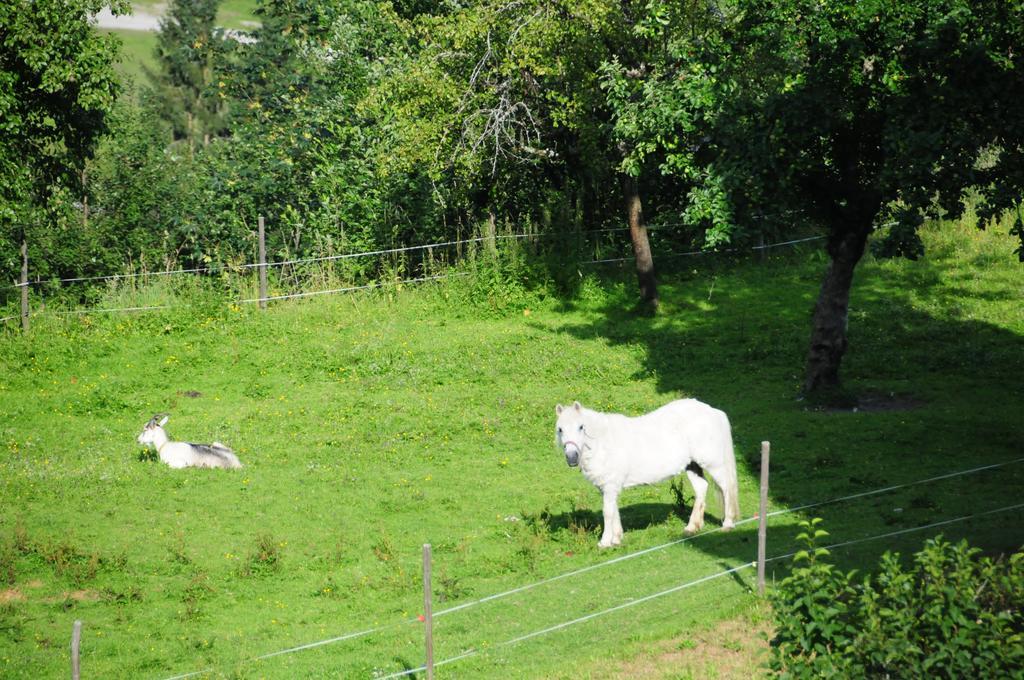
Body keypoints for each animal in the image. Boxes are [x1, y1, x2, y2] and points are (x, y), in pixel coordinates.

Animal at [557, 399, 741, 548]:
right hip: (692, 465)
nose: (572, 457)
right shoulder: (608, 488)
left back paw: (728, 524)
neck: (604, 442)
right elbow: (614, 511)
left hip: (713, 464)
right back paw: (691, 527)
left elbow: (608, 512)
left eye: (581, 427)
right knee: (701, 488)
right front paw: (617, 539)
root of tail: (713, 412)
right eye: (560, 429)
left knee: (726, 488)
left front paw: (605, 542)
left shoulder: (610, 486)